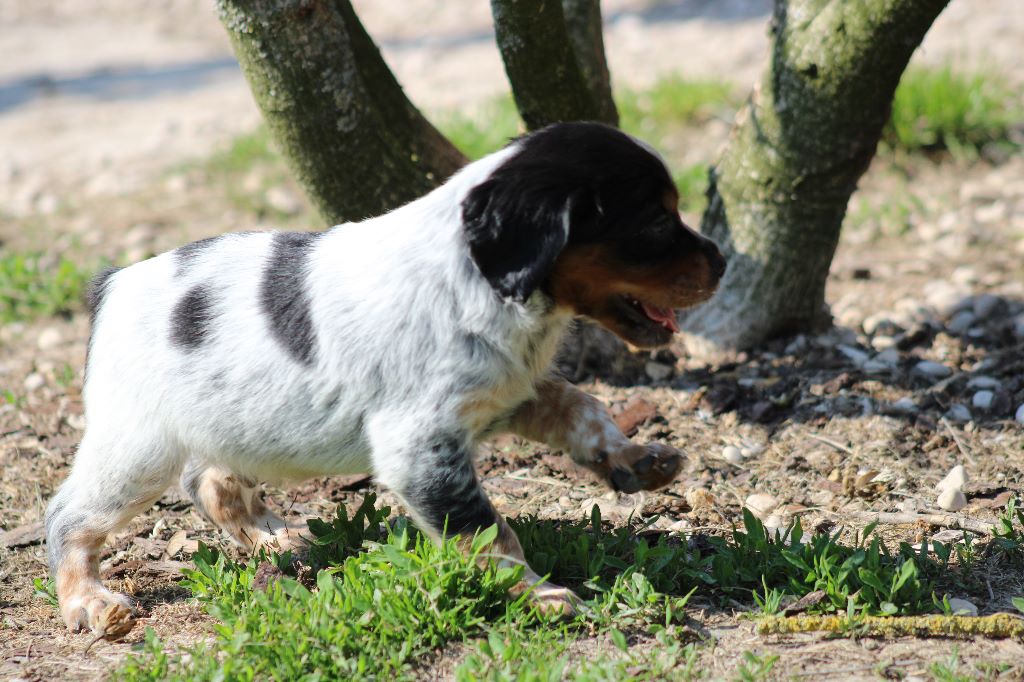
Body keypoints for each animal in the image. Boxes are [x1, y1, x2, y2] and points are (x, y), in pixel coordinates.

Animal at [46, 122, 725, 636]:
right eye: (656, 223)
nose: (721, 261)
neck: (475, 280)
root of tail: (110, 282)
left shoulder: (511, 392)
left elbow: (584, 408)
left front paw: (637, 461)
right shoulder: (419, 448)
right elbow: (488, 531)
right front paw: (537, 595)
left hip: (229, 421)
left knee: (209, 480)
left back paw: (271, 540)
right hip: (136, 449)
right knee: (69, 514)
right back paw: (89, 602)